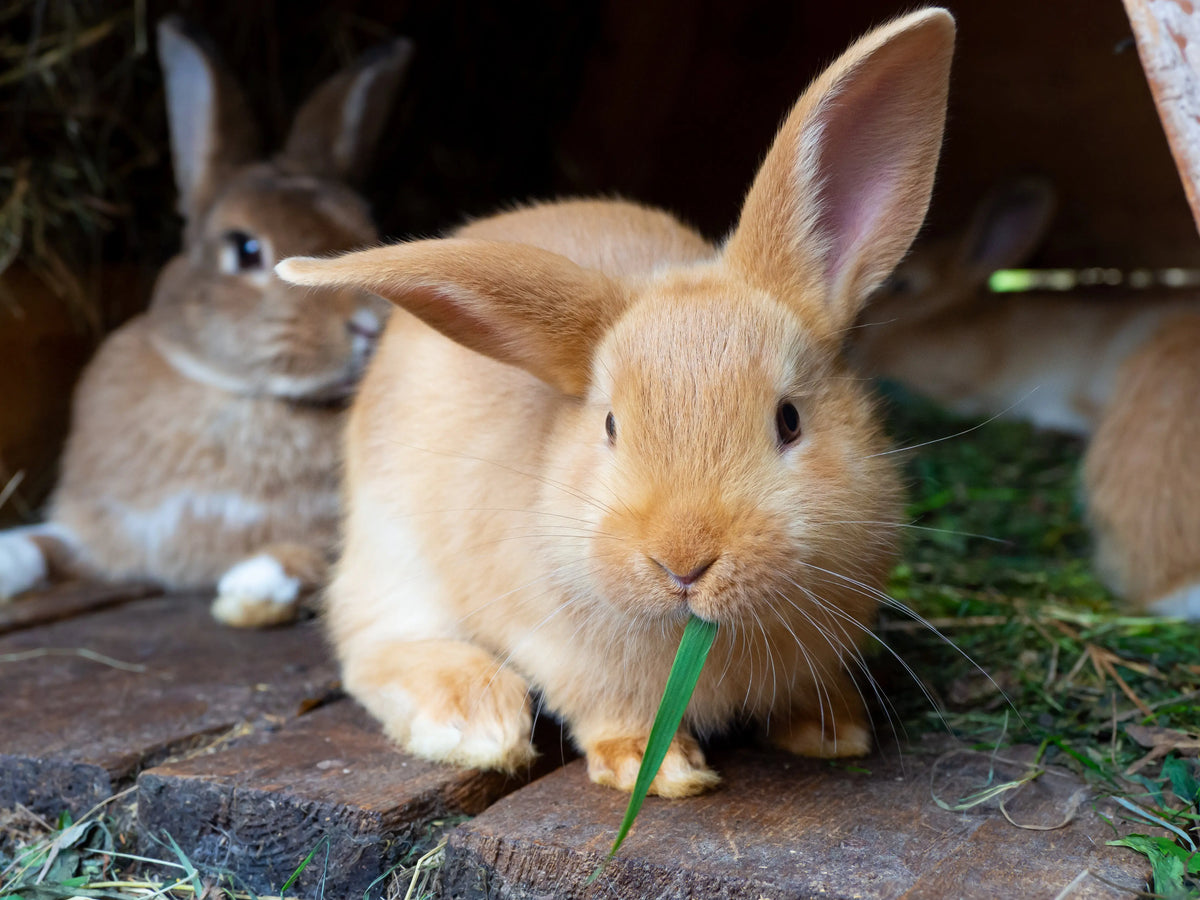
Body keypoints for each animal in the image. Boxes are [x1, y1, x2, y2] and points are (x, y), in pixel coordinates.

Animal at [0, 18, 411, 628]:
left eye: (369, 232)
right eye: (245, 249)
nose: (368, 325)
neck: (240, 397)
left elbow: (334, 551)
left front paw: (254, 586)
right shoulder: (109, 529)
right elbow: (48, 543)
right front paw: (7, 557)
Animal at [274, 8, 956, 796]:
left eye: (789, 420)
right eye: (609, 426)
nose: (684, 563)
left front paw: (833, 733)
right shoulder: (571, 659)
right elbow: (609, 714)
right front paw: (662, 773)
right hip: (391, 553)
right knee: (373, 643)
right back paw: (476, 719)